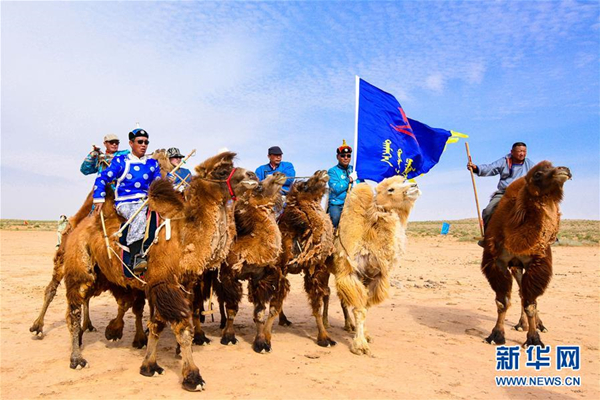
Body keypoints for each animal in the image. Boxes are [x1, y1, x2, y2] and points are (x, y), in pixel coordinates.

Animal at [62, 152, 255, 392]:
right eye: (221, 170)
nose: (252, 175)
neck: (185, 239)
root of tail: (78, 226)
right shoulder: (164, 283)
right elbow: (182, 329)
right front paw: (193, 377)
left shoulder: (177, 285)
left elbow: (157, 324)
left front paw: (149, 366)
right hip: (79, 267)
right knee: (74, 310)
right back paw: (77, 358)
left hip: (102, 275)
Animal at [276, 170, 338, 348]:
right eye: (304, 185)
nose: (322, 172)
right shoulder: (280, 266)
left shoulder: (314, 270)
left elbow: (317, 304)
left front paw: (325, 337)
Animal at [332, 177, 422, 354]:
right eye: (390, 189)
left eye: (404, 179)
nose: (414, 186)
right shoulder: (350, 273)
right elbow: (359, 309)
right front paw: (360, 345)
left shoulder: (374, 277)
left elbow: (366, 307)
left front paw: (366, 335)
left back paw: (348, 325)